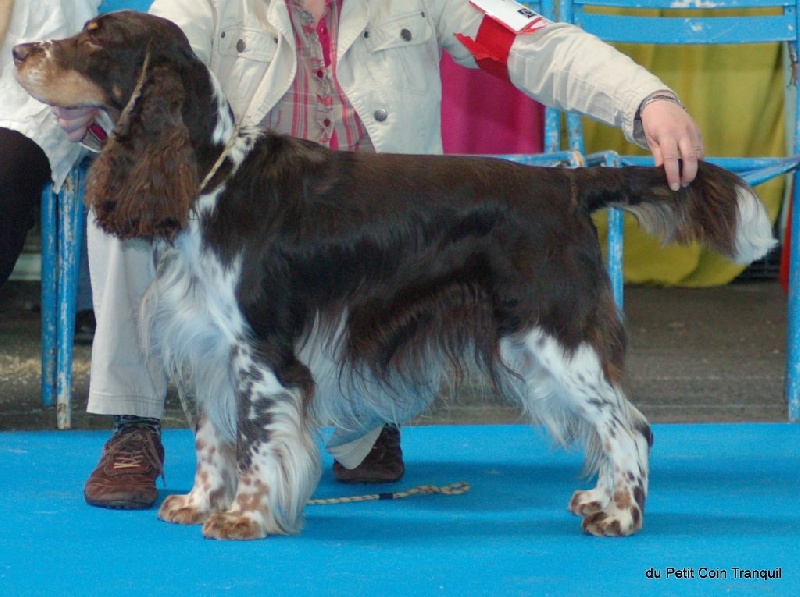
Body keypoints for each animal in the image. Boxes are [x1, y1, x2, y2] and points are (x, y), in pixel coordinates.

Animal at [14, 11, 776, 536]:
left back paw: (619, 516)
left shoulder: (261, 351)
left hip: (552, 333)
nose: (19, 49)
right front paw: (199, 502)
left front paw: (243, 518)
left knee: (631, 425)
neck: (210, 178)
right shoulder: (204, 341)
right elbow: (211, 437)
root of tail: (566, 183)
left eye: (93, 36)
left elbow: (257, 441)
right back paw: (600, 497)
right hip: (534, 342)